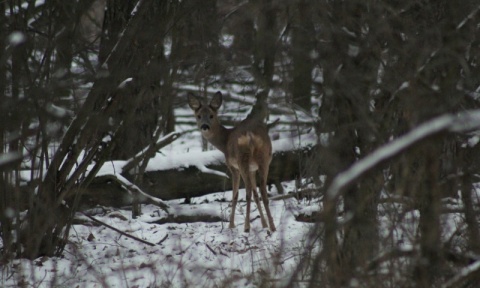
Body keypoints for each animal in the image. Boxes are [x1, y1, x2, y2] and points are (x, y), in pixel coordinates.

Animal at [188, 91, 276, 233]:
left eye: (211, 115)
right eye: (198, 116)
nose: (204, 126)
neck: (225, 142)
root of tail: (250, 136)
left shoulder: (233, 167)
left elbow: (235, 195)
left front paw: (231, 225)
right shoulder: (253, 169)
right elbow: (256, 195)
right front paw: (264, 224)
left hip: (242, 159)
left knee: (247, 191)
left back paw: (246, 227)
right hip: (265, 158)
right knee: (262, 191)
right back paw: (272, 227)